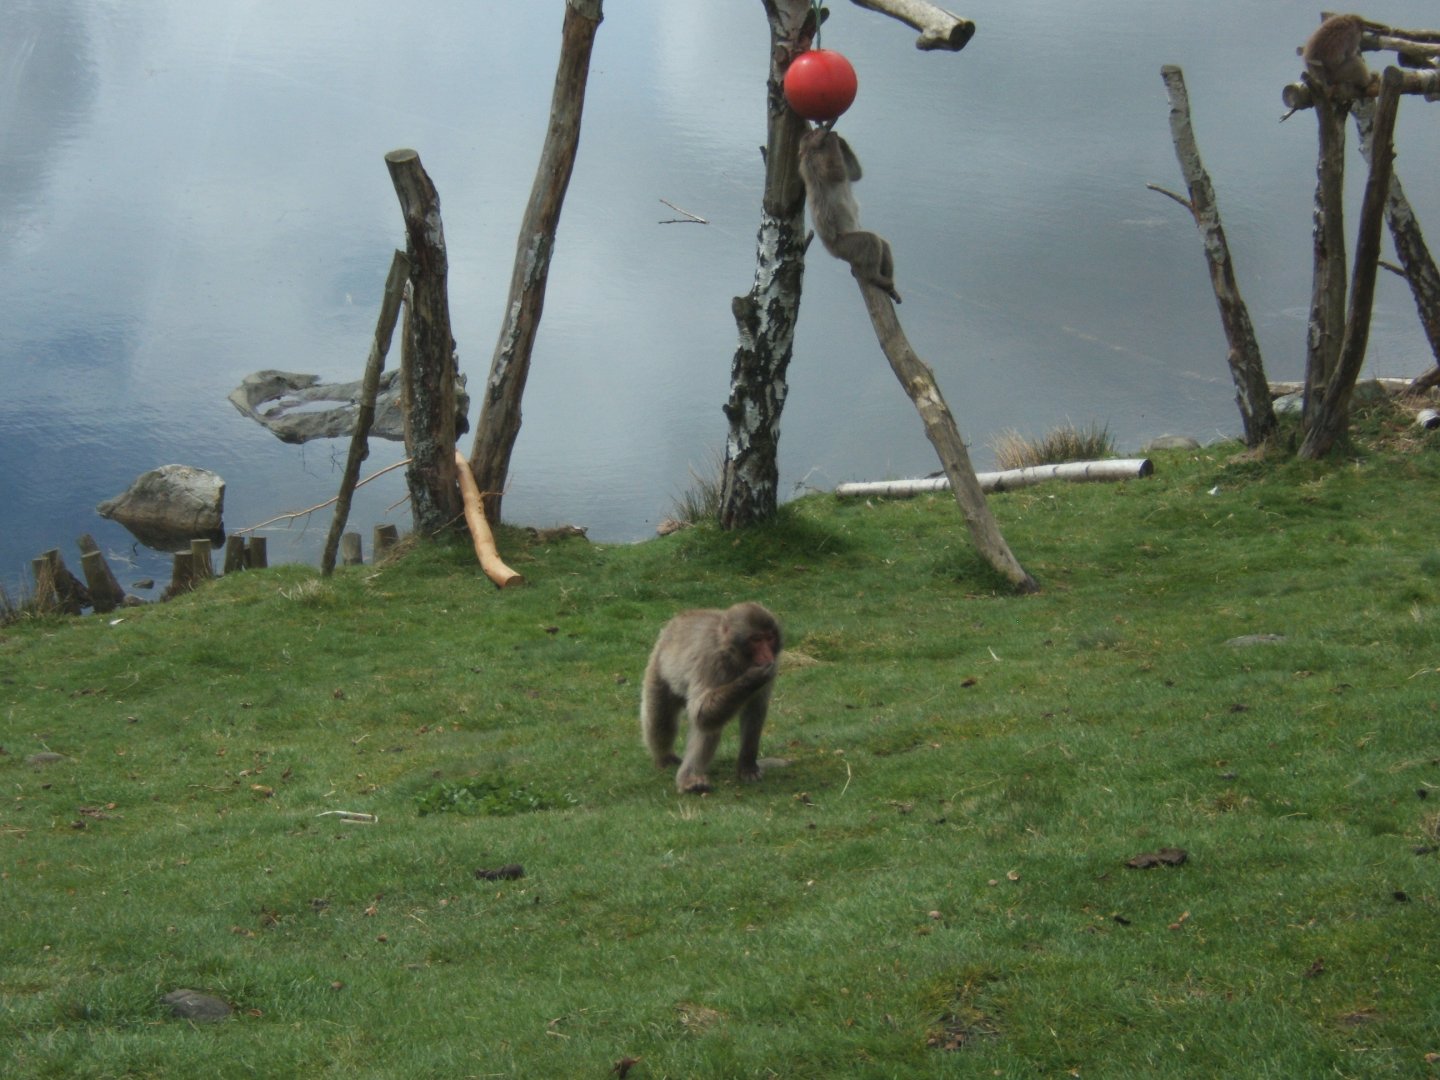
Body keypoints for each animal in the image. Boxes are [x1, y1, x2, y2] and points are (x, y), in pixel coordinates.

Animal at [640, 601, 782, 794]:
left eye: (769, 638)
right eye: (756, 640)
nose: (768, 655)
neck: (732, 654)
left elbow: (755, 710)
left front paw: (747, 766)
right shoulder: (710, 660)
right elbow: (701, 712)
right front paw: (753, 677)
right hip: (658, 670)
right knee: (663, 720)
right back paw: (678, 769)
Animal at [797, 125, 902, 303]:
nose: (817, 134)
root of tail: (830, 249)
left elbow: (853, 174)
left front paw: (838, 138)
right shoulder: (814, 161)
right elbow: (836, 173)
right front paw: (829, 139)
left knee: (883, 244)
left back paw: (889, 287)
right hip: (842, 246)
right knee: (869, 241)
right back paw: (874, 277)